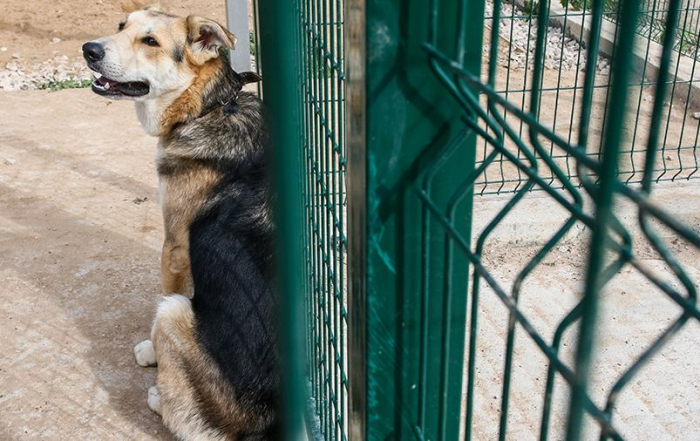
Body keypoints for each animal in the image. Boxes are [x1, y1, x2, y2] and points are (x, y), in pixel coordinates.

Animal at [82, 2, 278, 436]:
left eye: (150, 41)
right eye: (121, 26)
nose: (89, 49)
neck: (209, 106)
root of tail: (260, 424)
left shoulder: (173, 249)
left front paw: (150, 353)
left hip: (173, 311)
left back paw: (159, 394)